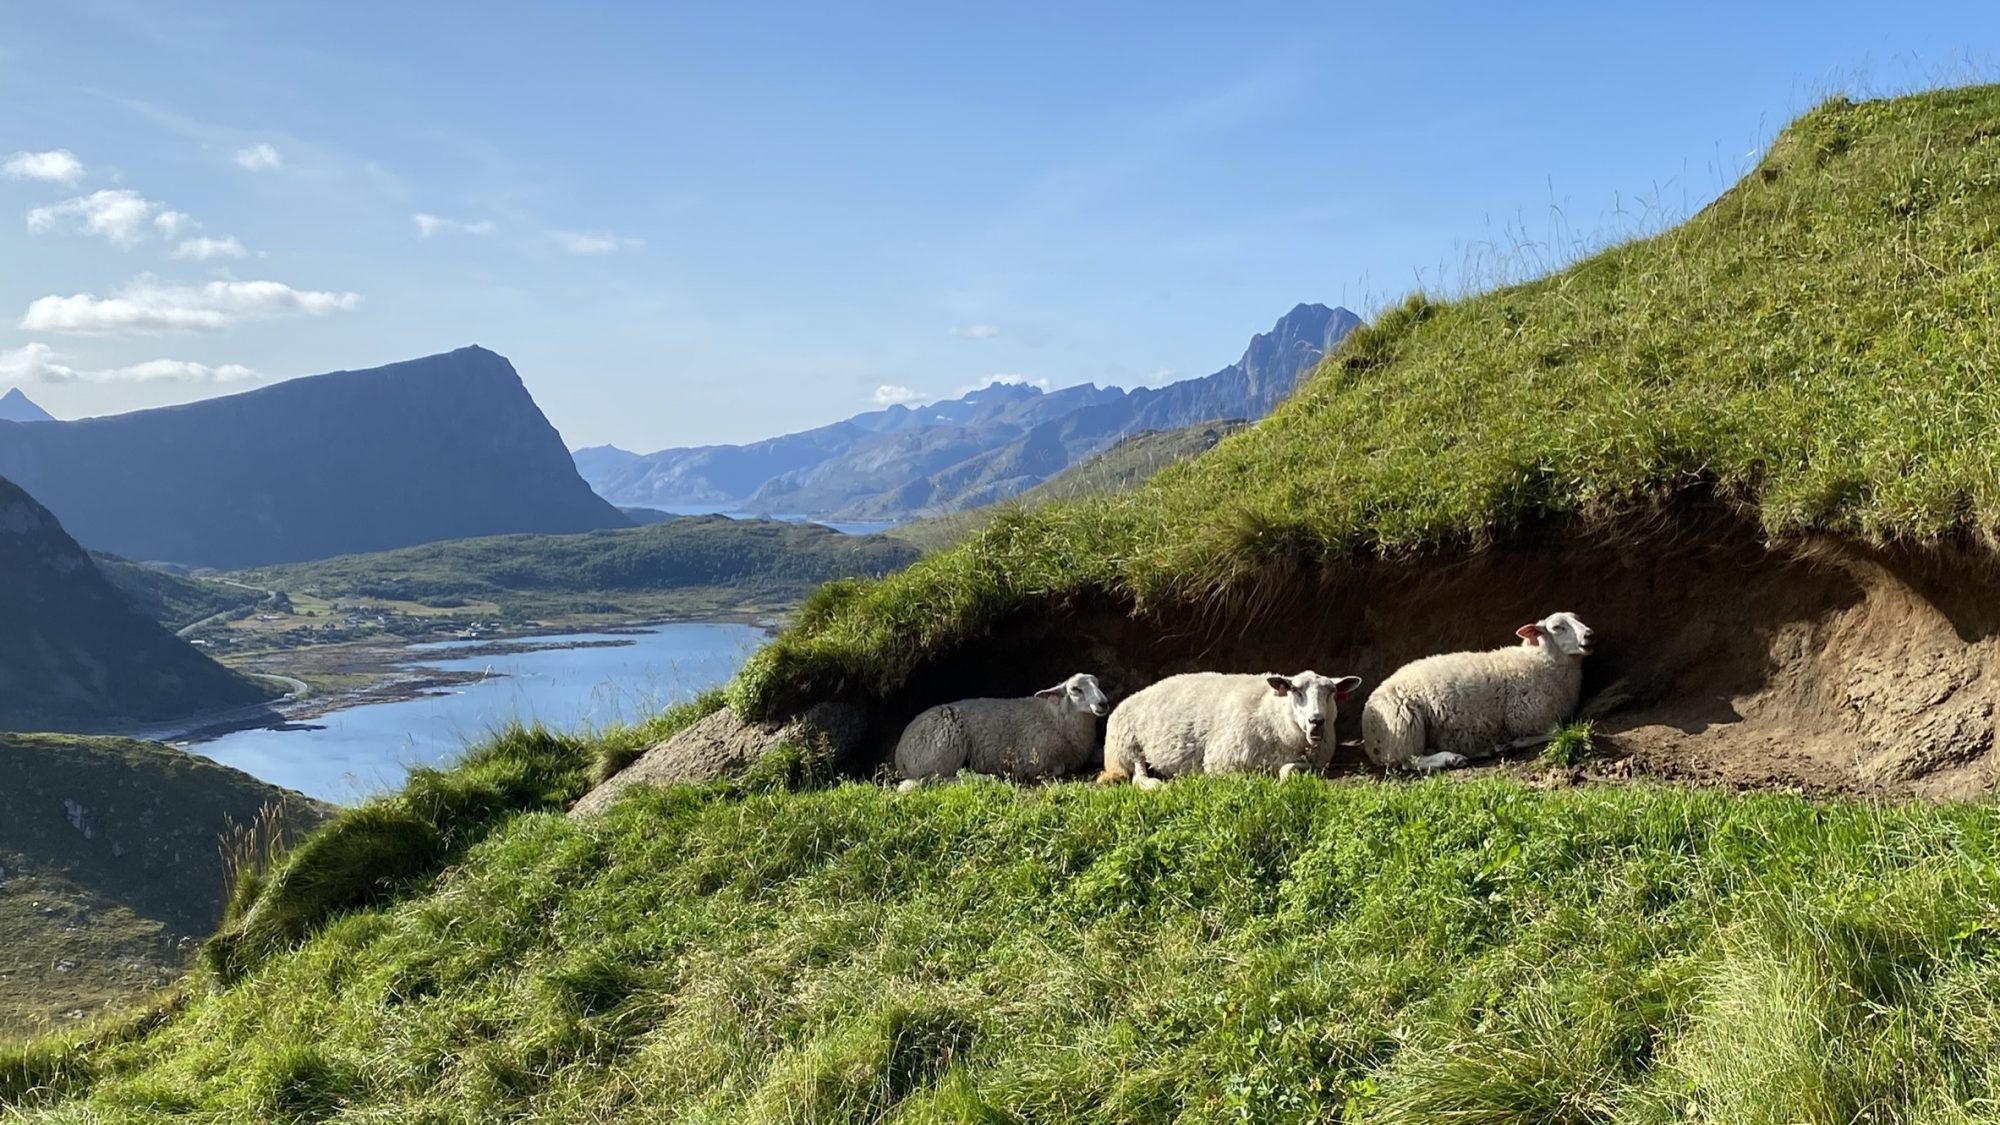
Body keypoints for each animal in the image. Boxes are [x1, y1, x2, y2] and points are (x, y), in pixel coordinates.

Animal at [894, 673, 1109, 791]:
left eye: (1098, 684)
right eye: (1075, 689)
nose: (1103, 703)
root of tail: (900, 753)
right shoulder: (1036, 760)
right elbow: (1059, 769)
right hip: (942, 753)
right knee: (933, 779)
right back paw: (983, 777)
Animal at [1098, 670, 1362, 790]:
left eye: (1331, 692)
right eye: (1295, 690)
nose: (1317, 720)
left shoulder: (1315, 762)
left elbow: (1287, 770)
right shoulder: (1221, 762)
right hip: (1127, 747)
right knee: (1137, 776)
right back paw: (1156, 784)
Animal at [1360, 611, 1596, 772]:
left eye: (1577, 618)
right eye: (1557, 627)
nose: (1589, 634)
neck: (1539, 660)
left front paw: (1506, 745)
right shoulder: (1523, 715)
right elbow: (1556, 729)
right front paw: (1514, 743)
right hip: (1404, 727)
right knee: (1410, 761)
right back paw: (1451, 758)